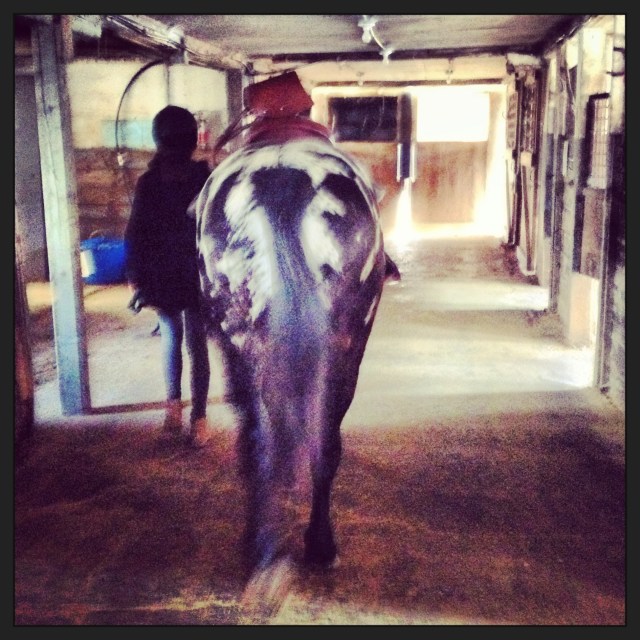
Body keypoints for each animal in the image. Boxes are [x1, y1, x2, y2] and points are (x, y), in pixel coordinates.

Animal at [193, 126, 394, 609]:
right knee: (320, 443)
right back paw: (317, 546)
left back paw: (263, 556)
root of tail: (282, 183)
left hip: (242, 342)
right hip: (340, 353)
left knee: (262, 441)